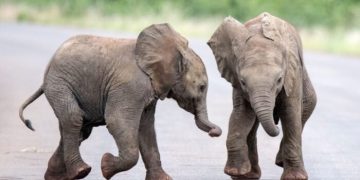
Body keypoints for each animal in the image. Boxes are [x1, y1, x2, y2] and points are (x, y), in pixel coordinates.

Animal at [20, 23, 222, 180]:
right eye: (202, 87)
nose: (214, 133)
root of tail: (48, 69)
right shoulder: (130, 86)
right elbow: (118, 120)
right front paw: (105, 166)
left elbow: (146, 129)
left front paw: (164, 179)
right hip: (59, 84)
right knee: (74, 118)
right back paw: (81, 171)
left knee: (80, 129)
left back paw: (55, 176)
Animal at [207, 11, 316, 179]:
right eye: (243, 82)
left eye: (279, 80)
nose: (276, 126)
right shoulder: (236, 79)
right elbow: (242, 113)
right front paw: (235, 171)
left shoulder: (293, 73)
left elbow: (290, 112)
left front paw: (295, 177)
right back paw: (250, 175)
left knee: (307, 106)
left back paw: (279, 162)